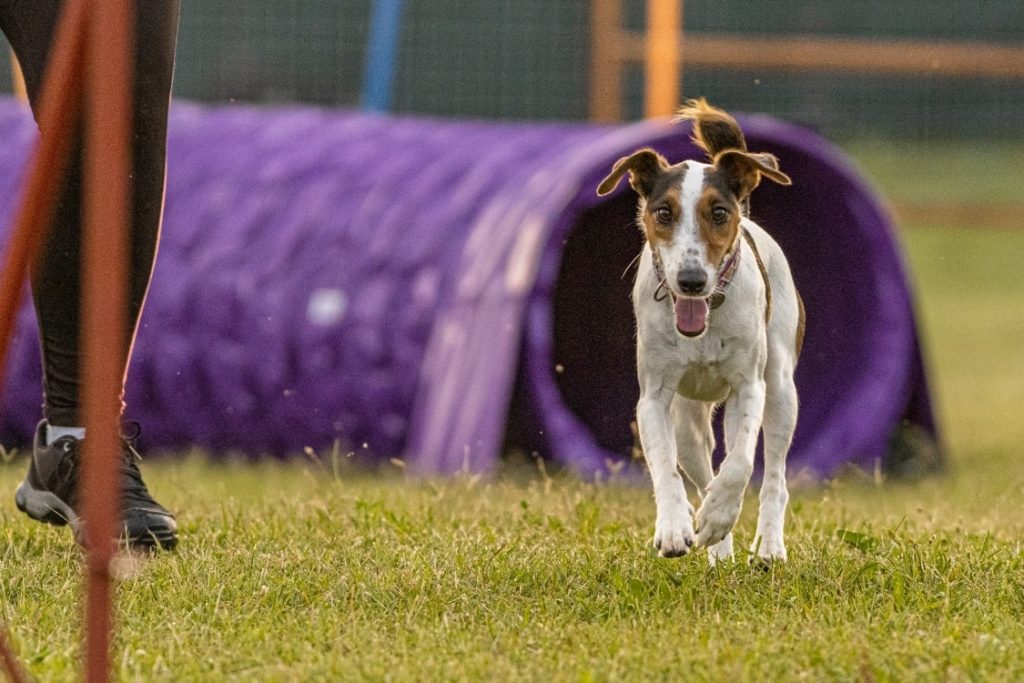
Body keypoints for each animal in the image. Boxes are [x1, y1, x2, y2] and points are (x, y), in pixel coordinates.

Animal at [597, 99, 804, 563]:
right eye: (663, 212)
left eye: (719, 213)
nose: (691, 280)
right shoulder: (654, 398)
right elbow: (664, 465)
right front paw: (676, 527)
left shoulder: (750, 386)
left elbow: (742, 461)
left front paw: (718, 513)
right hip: (688, 421)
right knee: (701, 467)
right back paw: (718, 549)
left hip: (782, 389)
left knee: (774, 477)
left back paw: (767, 546)